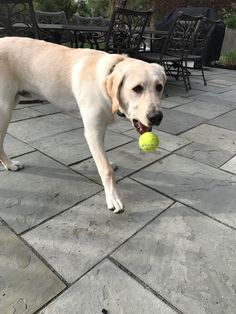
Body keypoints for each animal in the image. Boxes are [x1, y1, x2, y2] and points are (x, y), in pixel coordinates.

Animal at [0, 36, 166, 213]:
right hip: (5, 110)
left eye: (159, 87)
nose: (156, 117)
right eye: (137, 88)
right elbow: (106, 170)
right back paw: (10, 164)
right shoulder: (93, 131)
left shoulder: (100, 129)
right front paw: (113, 198)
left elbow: (103, 159)